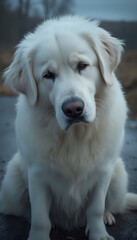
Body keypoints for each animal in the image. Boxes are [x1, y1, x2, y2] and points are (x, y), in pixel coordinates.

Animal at [0, 15, 137, 239]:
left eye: (82, 65)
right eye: (48, 75)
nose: (73, 109)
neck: (75, 135)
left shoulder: (103, 171)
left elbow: (96, 208)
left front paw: (99, 233)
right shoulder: (37, 174)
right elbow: (39, 218)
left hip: (118, 175)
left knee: (109, 205)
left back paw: (107, 216)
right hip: (13, 179)